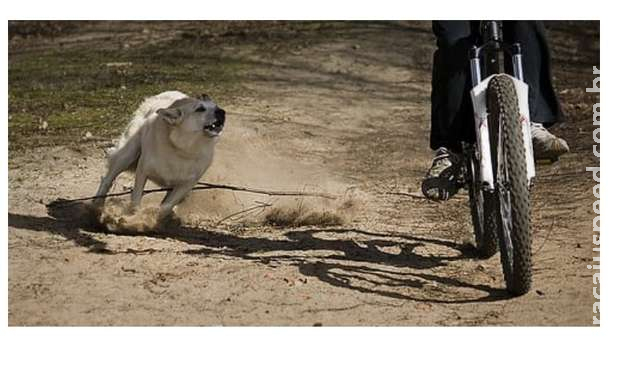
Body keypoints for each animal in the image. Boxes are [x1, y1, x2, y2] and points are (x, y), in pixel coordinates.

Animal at [94, 90, 225, 218]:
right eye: (200, 109)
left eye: (216, 106)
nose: (222, 112)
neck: (182, 149)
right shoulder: (142, 171)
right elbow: (136, 199)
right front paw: (133, 217)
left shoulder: (186, 185)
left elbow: (166, 206)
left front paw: (154, 218)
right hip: (127, 154)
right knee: (107, 179)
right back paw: (96, 205)